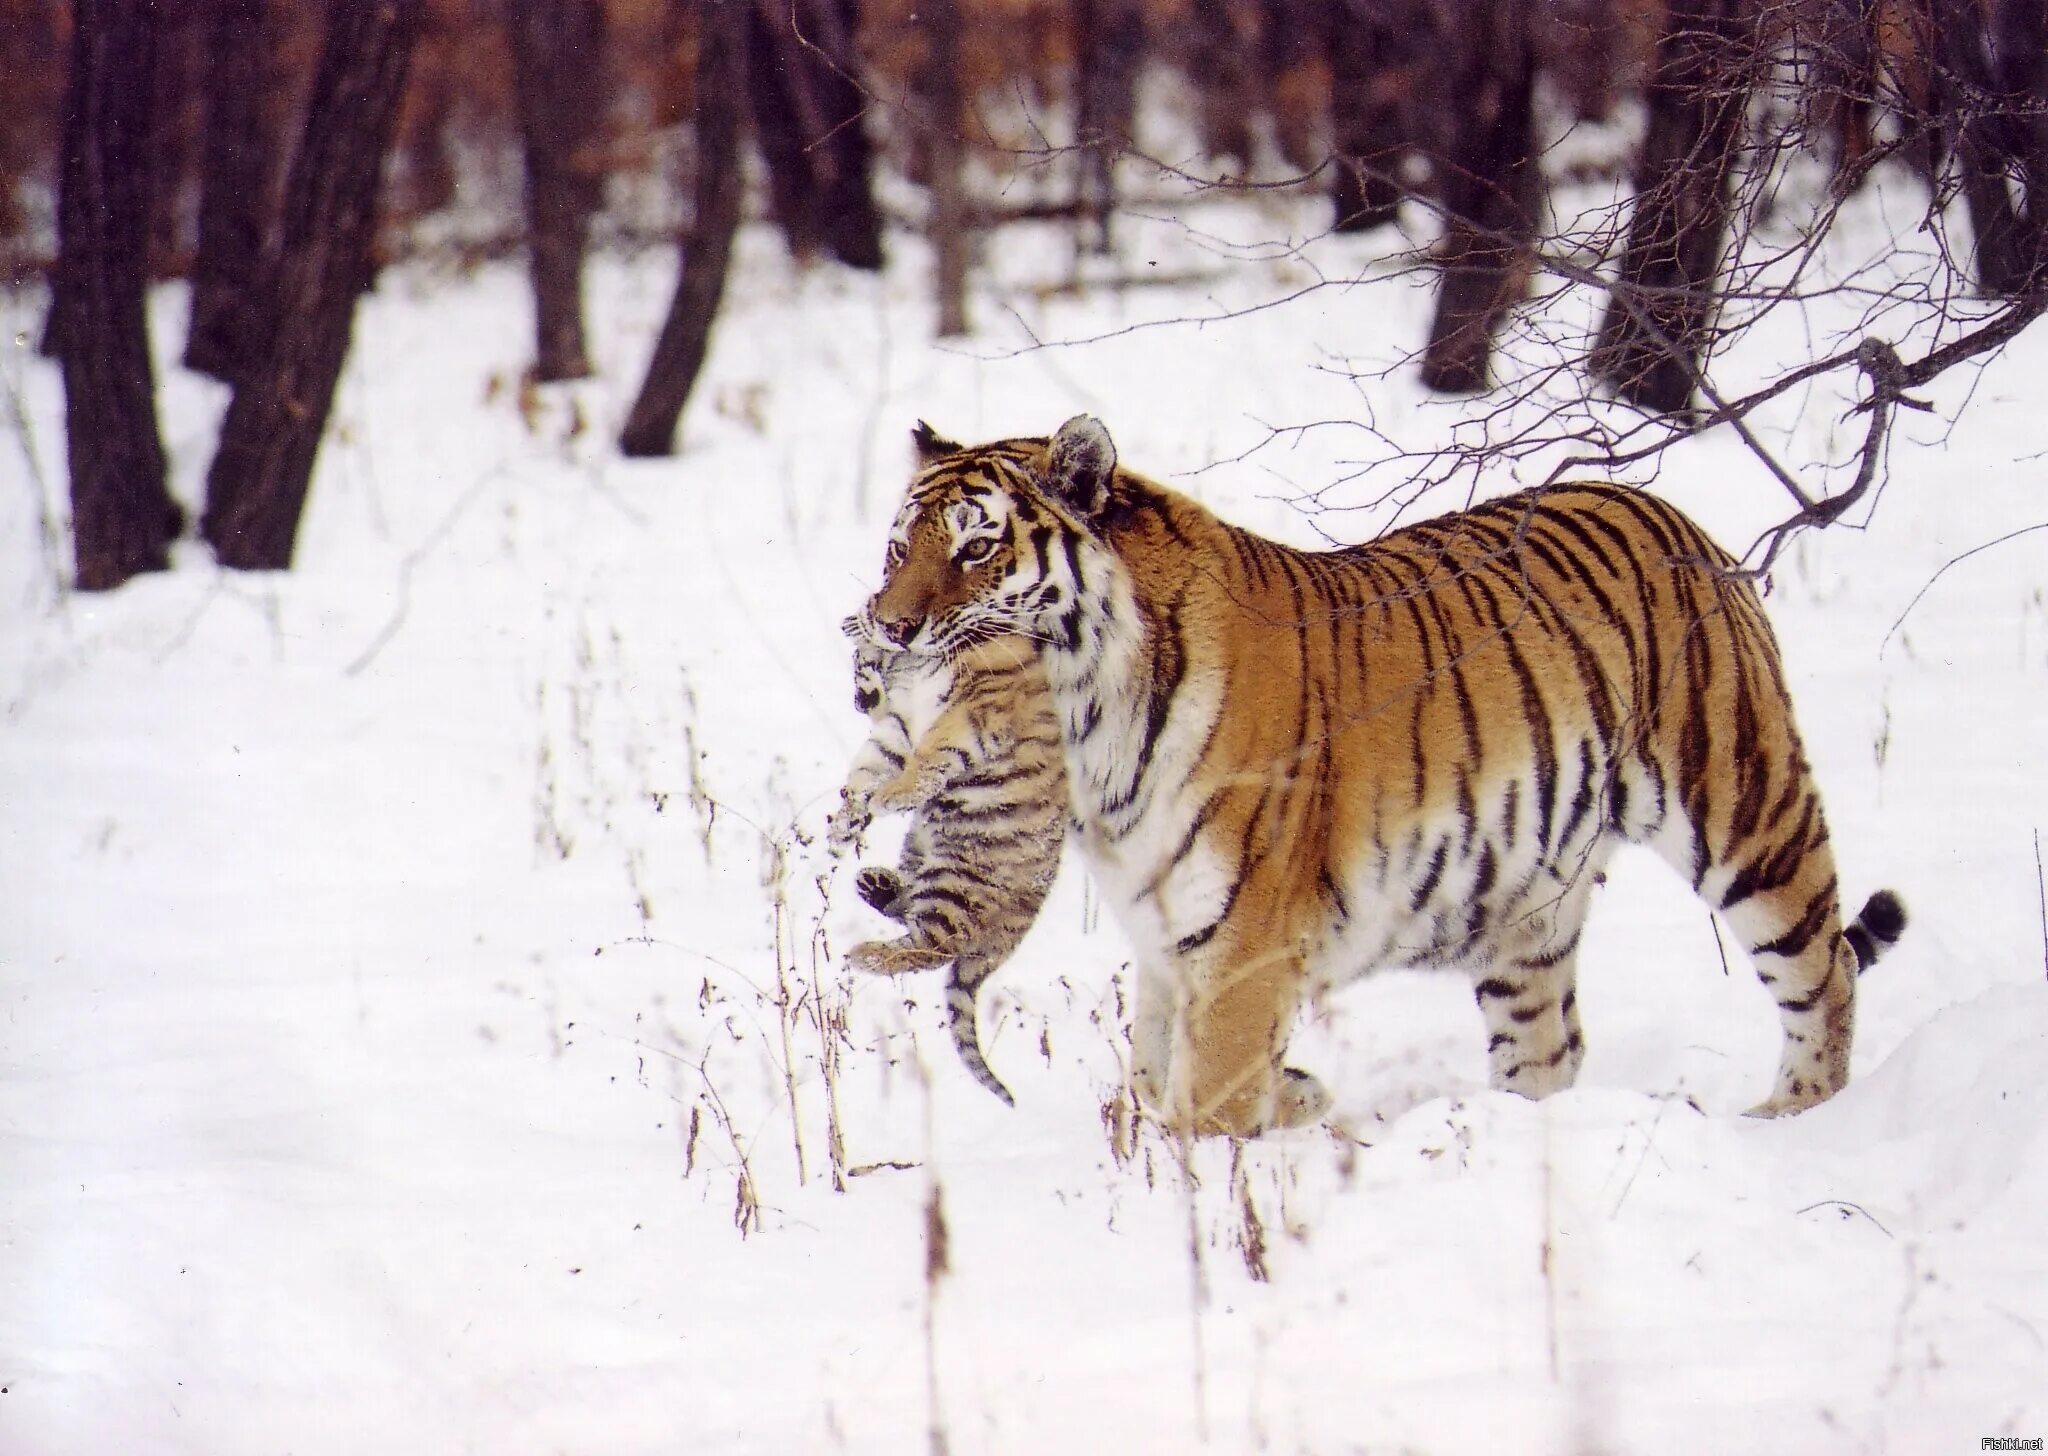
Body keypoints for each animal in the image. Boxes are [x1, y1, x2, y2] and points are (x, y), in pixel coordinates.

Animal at [847, 415, 1900, 1130]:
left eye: (977, 547)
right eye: (899, 546)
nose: (888, 627)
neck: (1090, 727)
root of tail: (1663, 506)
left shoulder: (1243, 946)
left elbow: (1204, 1103)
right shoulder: (1165, 939)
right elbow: (1154, 1074)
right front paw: (1293, 1100)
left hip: (1746, 813)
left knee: (1827, 969)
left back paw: (1794, 1119)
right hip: (1527, 911)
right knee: (1549, 1047)